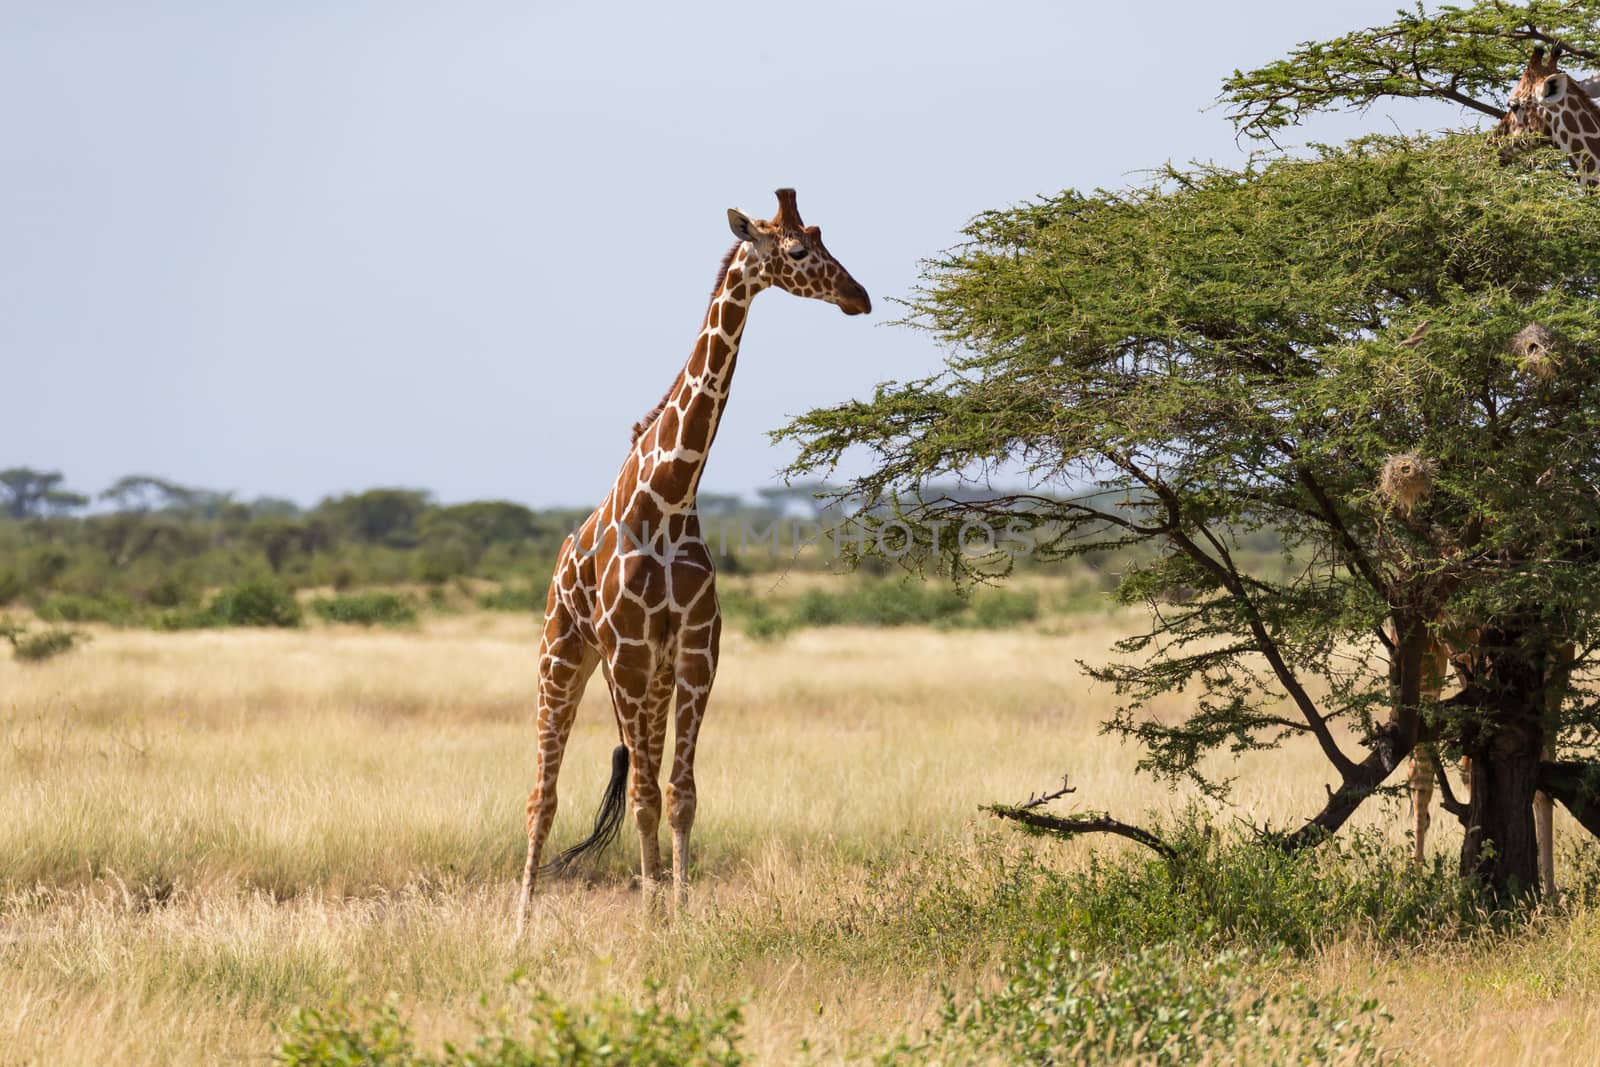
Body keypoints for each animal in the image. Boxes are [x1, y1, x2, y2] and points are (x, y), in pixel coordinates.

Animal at [515, 191, 870, 934]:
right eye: (798, 250)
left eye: (823, 235)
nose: (860, 296)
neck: (670, 495)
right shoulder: (627, 653)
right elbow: (645, 795)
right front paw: (655, 922)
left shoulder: (696, 650)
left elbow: (678, 794)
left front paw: (676, 917)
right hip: (563, 657)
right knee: (543, 795)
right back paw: (519, 931)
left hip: (646, 681)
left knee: (643, 779)